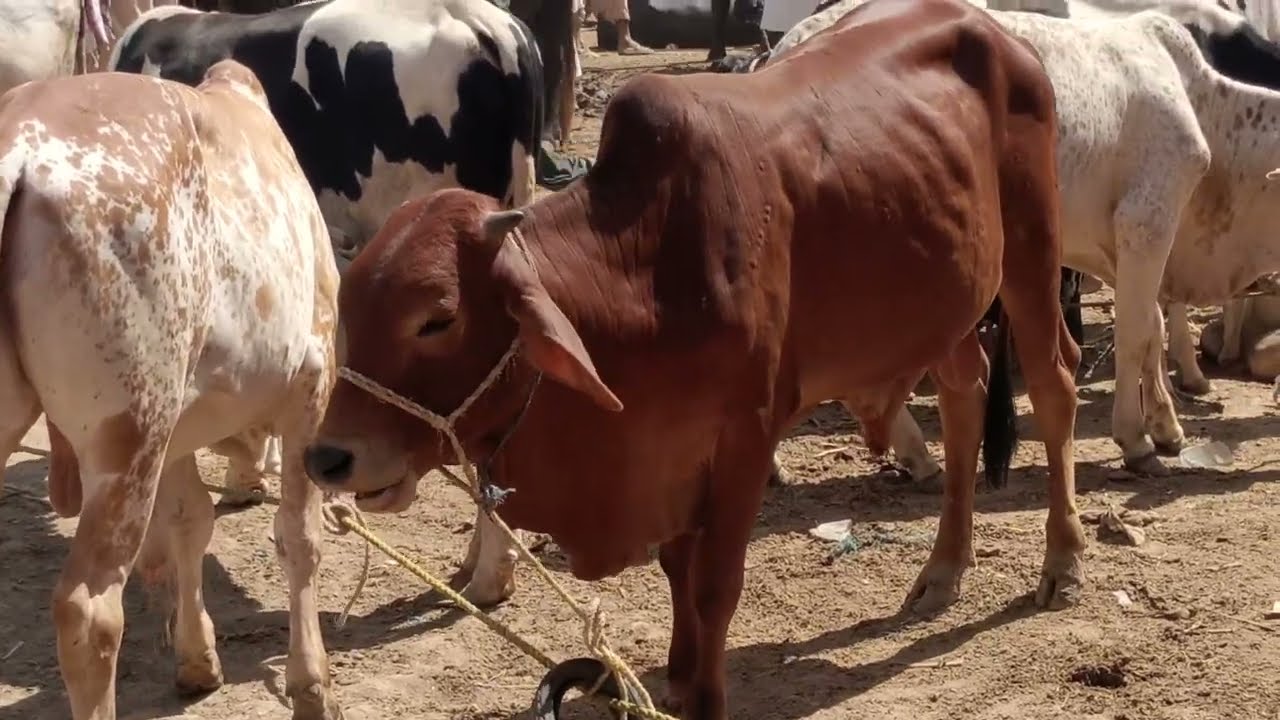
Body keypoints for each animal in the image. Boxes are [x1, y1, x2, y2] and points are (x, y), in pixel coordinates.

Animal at [0, 60, 341, 720]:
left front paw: (197, 659)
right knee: (90, 613)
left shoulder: (181, 426)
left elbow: (191, 522)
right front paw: (311, 684)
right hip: (128, 437)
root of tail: (18, 148)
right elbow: (300, 537)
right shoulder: (312, 379)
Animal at [300, 0, 1086, 717]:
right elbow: (677, 570)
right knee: (964, 394)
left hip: (1031, 252)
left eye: (438, 318)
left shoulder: (746, 436)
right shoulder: (671, 453)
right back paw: (945, 568)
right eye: (353, 308)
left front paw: (706, 695)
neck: (645, 269)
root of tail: (998, 33)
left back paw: (1063, 560)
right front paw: (678, 679)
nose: (328, 458)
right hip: (949, 297)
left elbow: (714, 585)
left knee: (1055, 385)